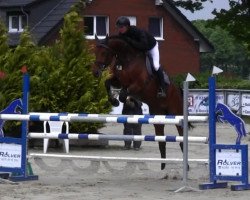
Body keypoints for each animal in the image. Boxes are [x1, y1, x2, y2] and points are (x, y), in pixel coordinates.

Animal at [92, 35, 188, 170]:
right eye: (95, 52)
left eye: (104, 52)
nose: (95, 72)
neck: (127, 59)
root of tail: (178, 89)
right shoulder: (118, 80)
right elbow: (108, 83)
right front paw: (114, 101)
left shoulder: (139, 85)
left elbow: (124, 94)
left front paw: (120, 100)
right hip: (158, 115)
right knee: (161, 139)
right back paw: (163, 166)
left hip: (176, 112)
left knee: (181, 135)